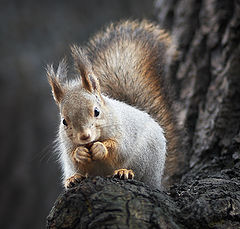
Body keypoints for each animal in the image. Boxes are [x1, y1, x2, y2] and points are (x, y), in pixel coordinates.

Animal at [46, 20, 182, 190]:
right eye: (64, 121)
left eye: (96, 112)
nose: (84, 136)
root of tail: (158, 181)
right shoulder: (67, 144)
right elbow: (73, 157)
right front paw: (80, 153)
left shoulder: (124, 132)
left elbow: (118, 148)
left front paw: (100, 148)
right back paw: (72, 178)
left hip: (146, 158)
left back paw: (125, 171)